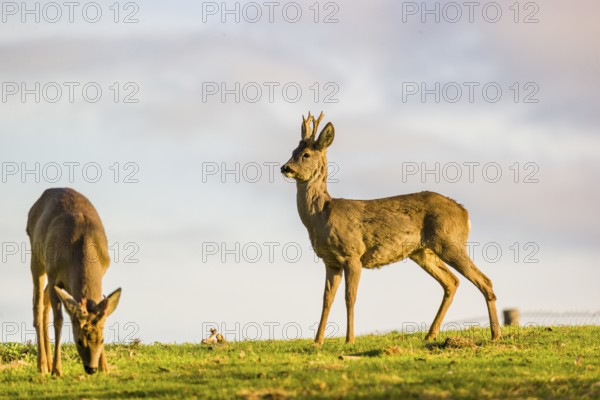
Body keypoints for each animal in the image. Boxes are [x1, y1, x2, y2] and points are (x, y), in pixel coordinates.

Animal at [27, 188, 122, 376]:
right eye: (78, 340)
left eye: (102, 340)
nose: (91, 368)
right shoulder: (53, 272)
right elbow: (58, 320)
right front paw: (57, 370)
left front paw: (105, 367)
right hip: (37, 258)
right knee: (37, 304)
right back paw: (43, 365)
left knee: (44, 303)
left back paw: (47, 362)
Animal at [282, 112, 502, 344]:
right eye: (292, 152)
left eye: (306, 155)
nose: (285, 168)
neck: (321, 217)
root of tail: (465, 212)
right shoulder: (330, 261)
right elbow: (326, 299)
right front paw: (317, 342)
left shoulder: (353, 254)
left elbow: (350, 297)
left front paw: (349, 340)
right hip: (422, 252)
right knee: (452, 282)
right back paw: (431, 334)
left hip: (450, 242)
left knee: (484, 280)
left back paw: (495, 334)